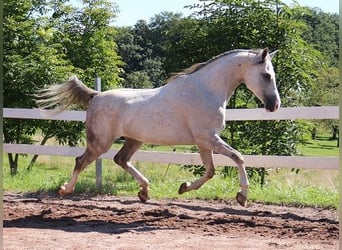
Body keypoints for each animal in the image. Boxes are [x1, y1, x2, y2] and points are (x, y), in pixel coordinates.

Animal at [36, 48, 280, 205]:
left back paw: (144, 191)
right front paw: (242, 196)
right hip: (100, 142)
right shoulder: (208, 138)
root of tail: (96, 96)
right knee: (81, 161)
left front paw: (183, 187)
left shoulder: (204, 142)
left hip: (135, 140)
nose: (274, 105)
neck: (206, 90)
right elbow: (238, 157)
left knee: (121, 160)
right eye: (267, 75)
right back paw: (65, 189)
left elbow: (210, 171)